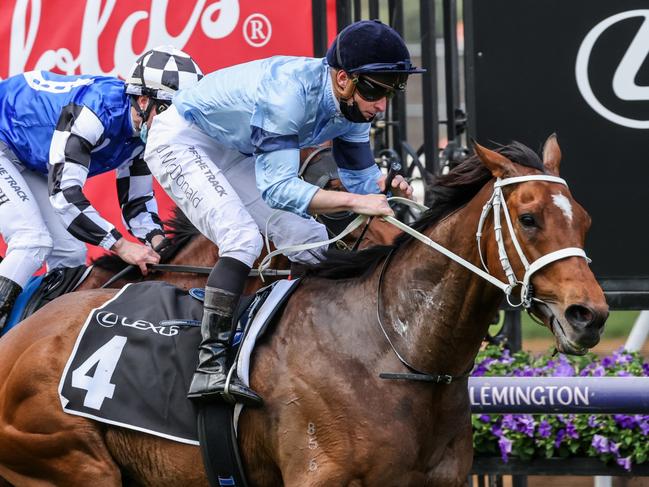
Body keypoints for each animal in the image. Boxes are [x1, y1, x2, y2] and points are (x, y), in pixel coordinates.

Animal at [0, 135, 604, 486]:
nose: (589, 315)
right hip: (70, 461)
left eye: (584, 219)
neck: (395, 350)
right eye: (528, 218)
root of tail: (18, 340)